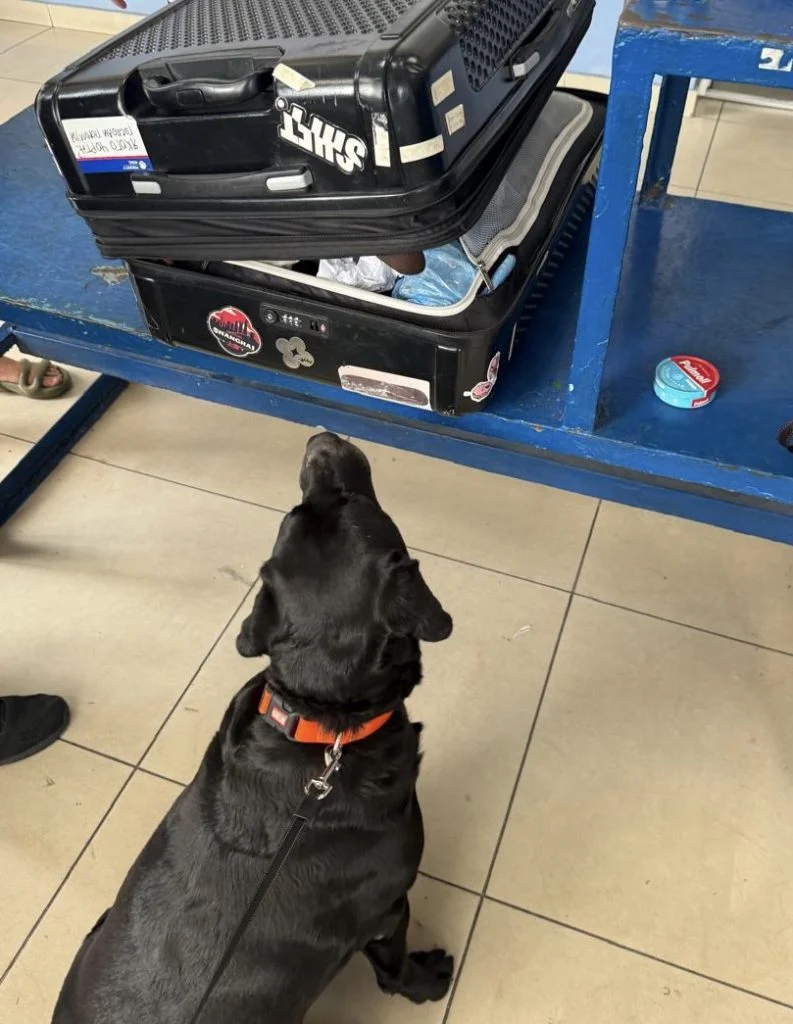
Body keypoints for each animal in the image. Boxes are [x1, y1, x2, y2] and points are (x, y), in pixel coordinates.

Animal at [54, 432, 454, 1024]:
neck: (321, 729)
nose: (320, 438)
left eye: (302, 511)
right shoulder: (388, 911)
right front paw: (427, 981)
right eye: (349, 501)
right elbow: (394, 966)